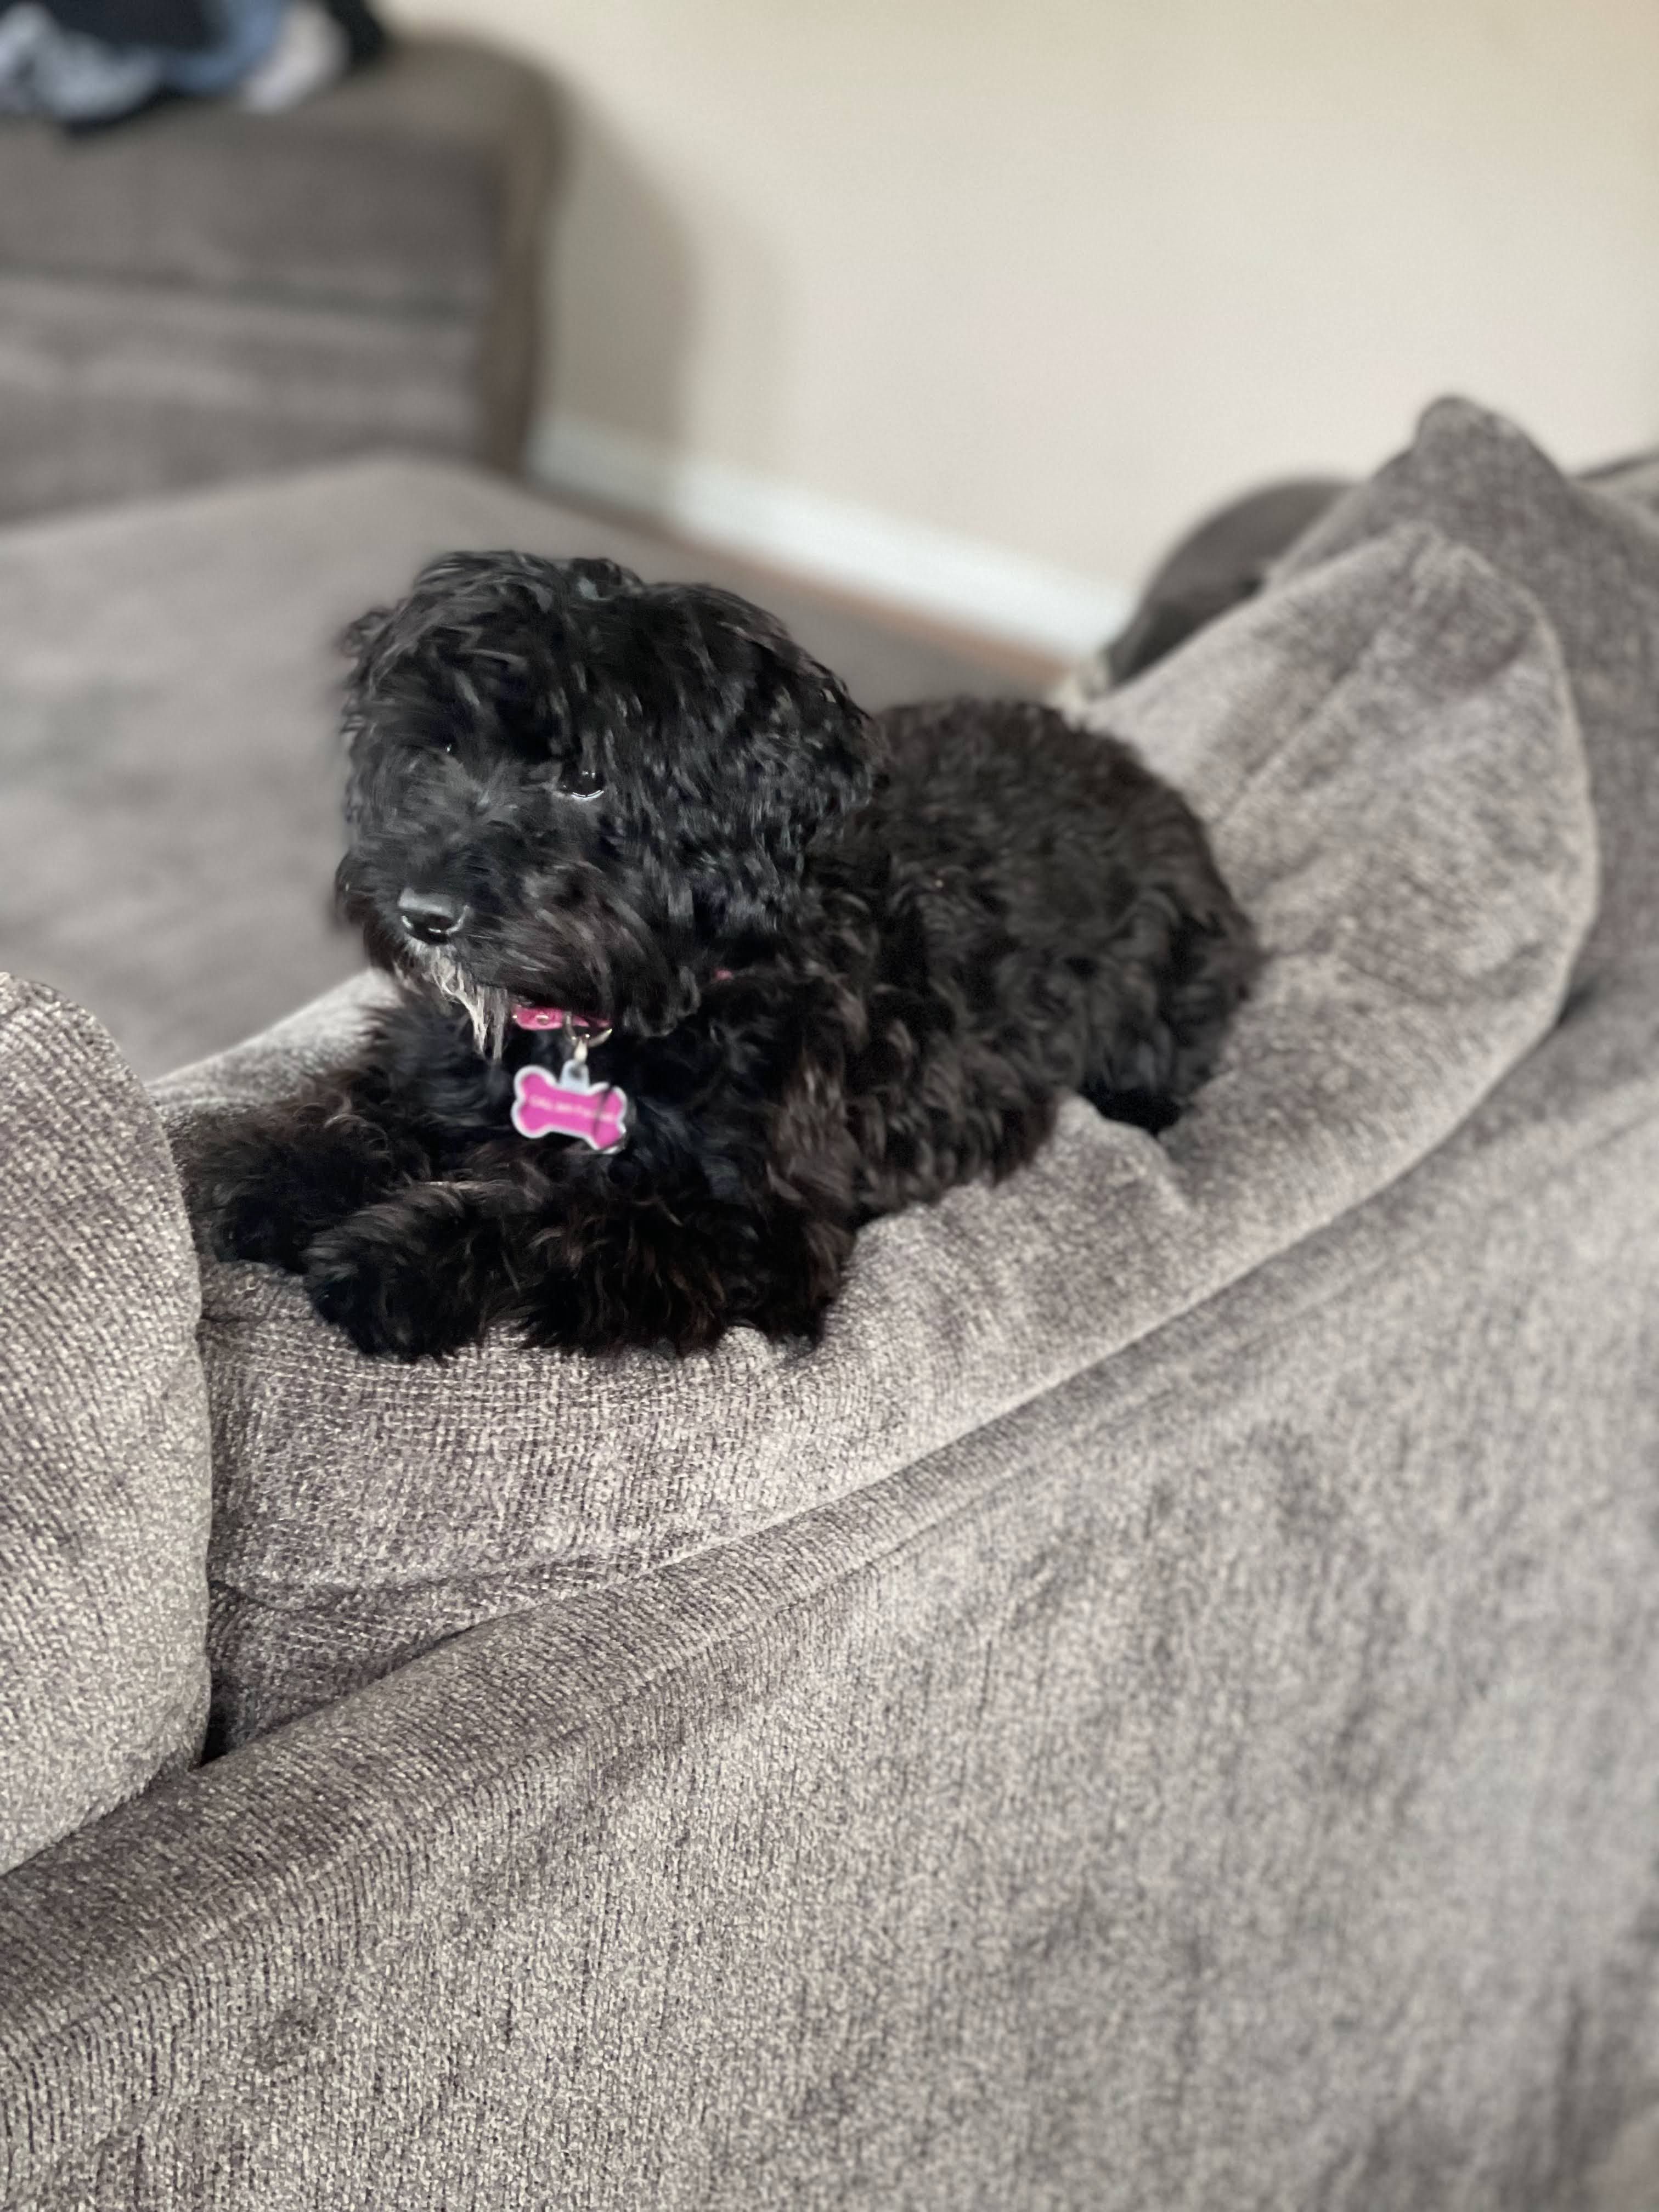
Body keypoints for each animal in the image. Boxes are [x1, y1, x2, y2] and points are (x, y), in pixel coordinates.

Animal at [194, 552, 1260, 1360]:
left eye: (587, 778)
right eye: (441, 749)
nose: (421, 913)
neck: (621, 1009)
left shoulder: (752, 1232)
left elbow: (558, 1210)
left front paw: (393, 1259)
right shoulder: (434, 1060)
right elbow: (360, 1111)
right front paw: (261, 1169)